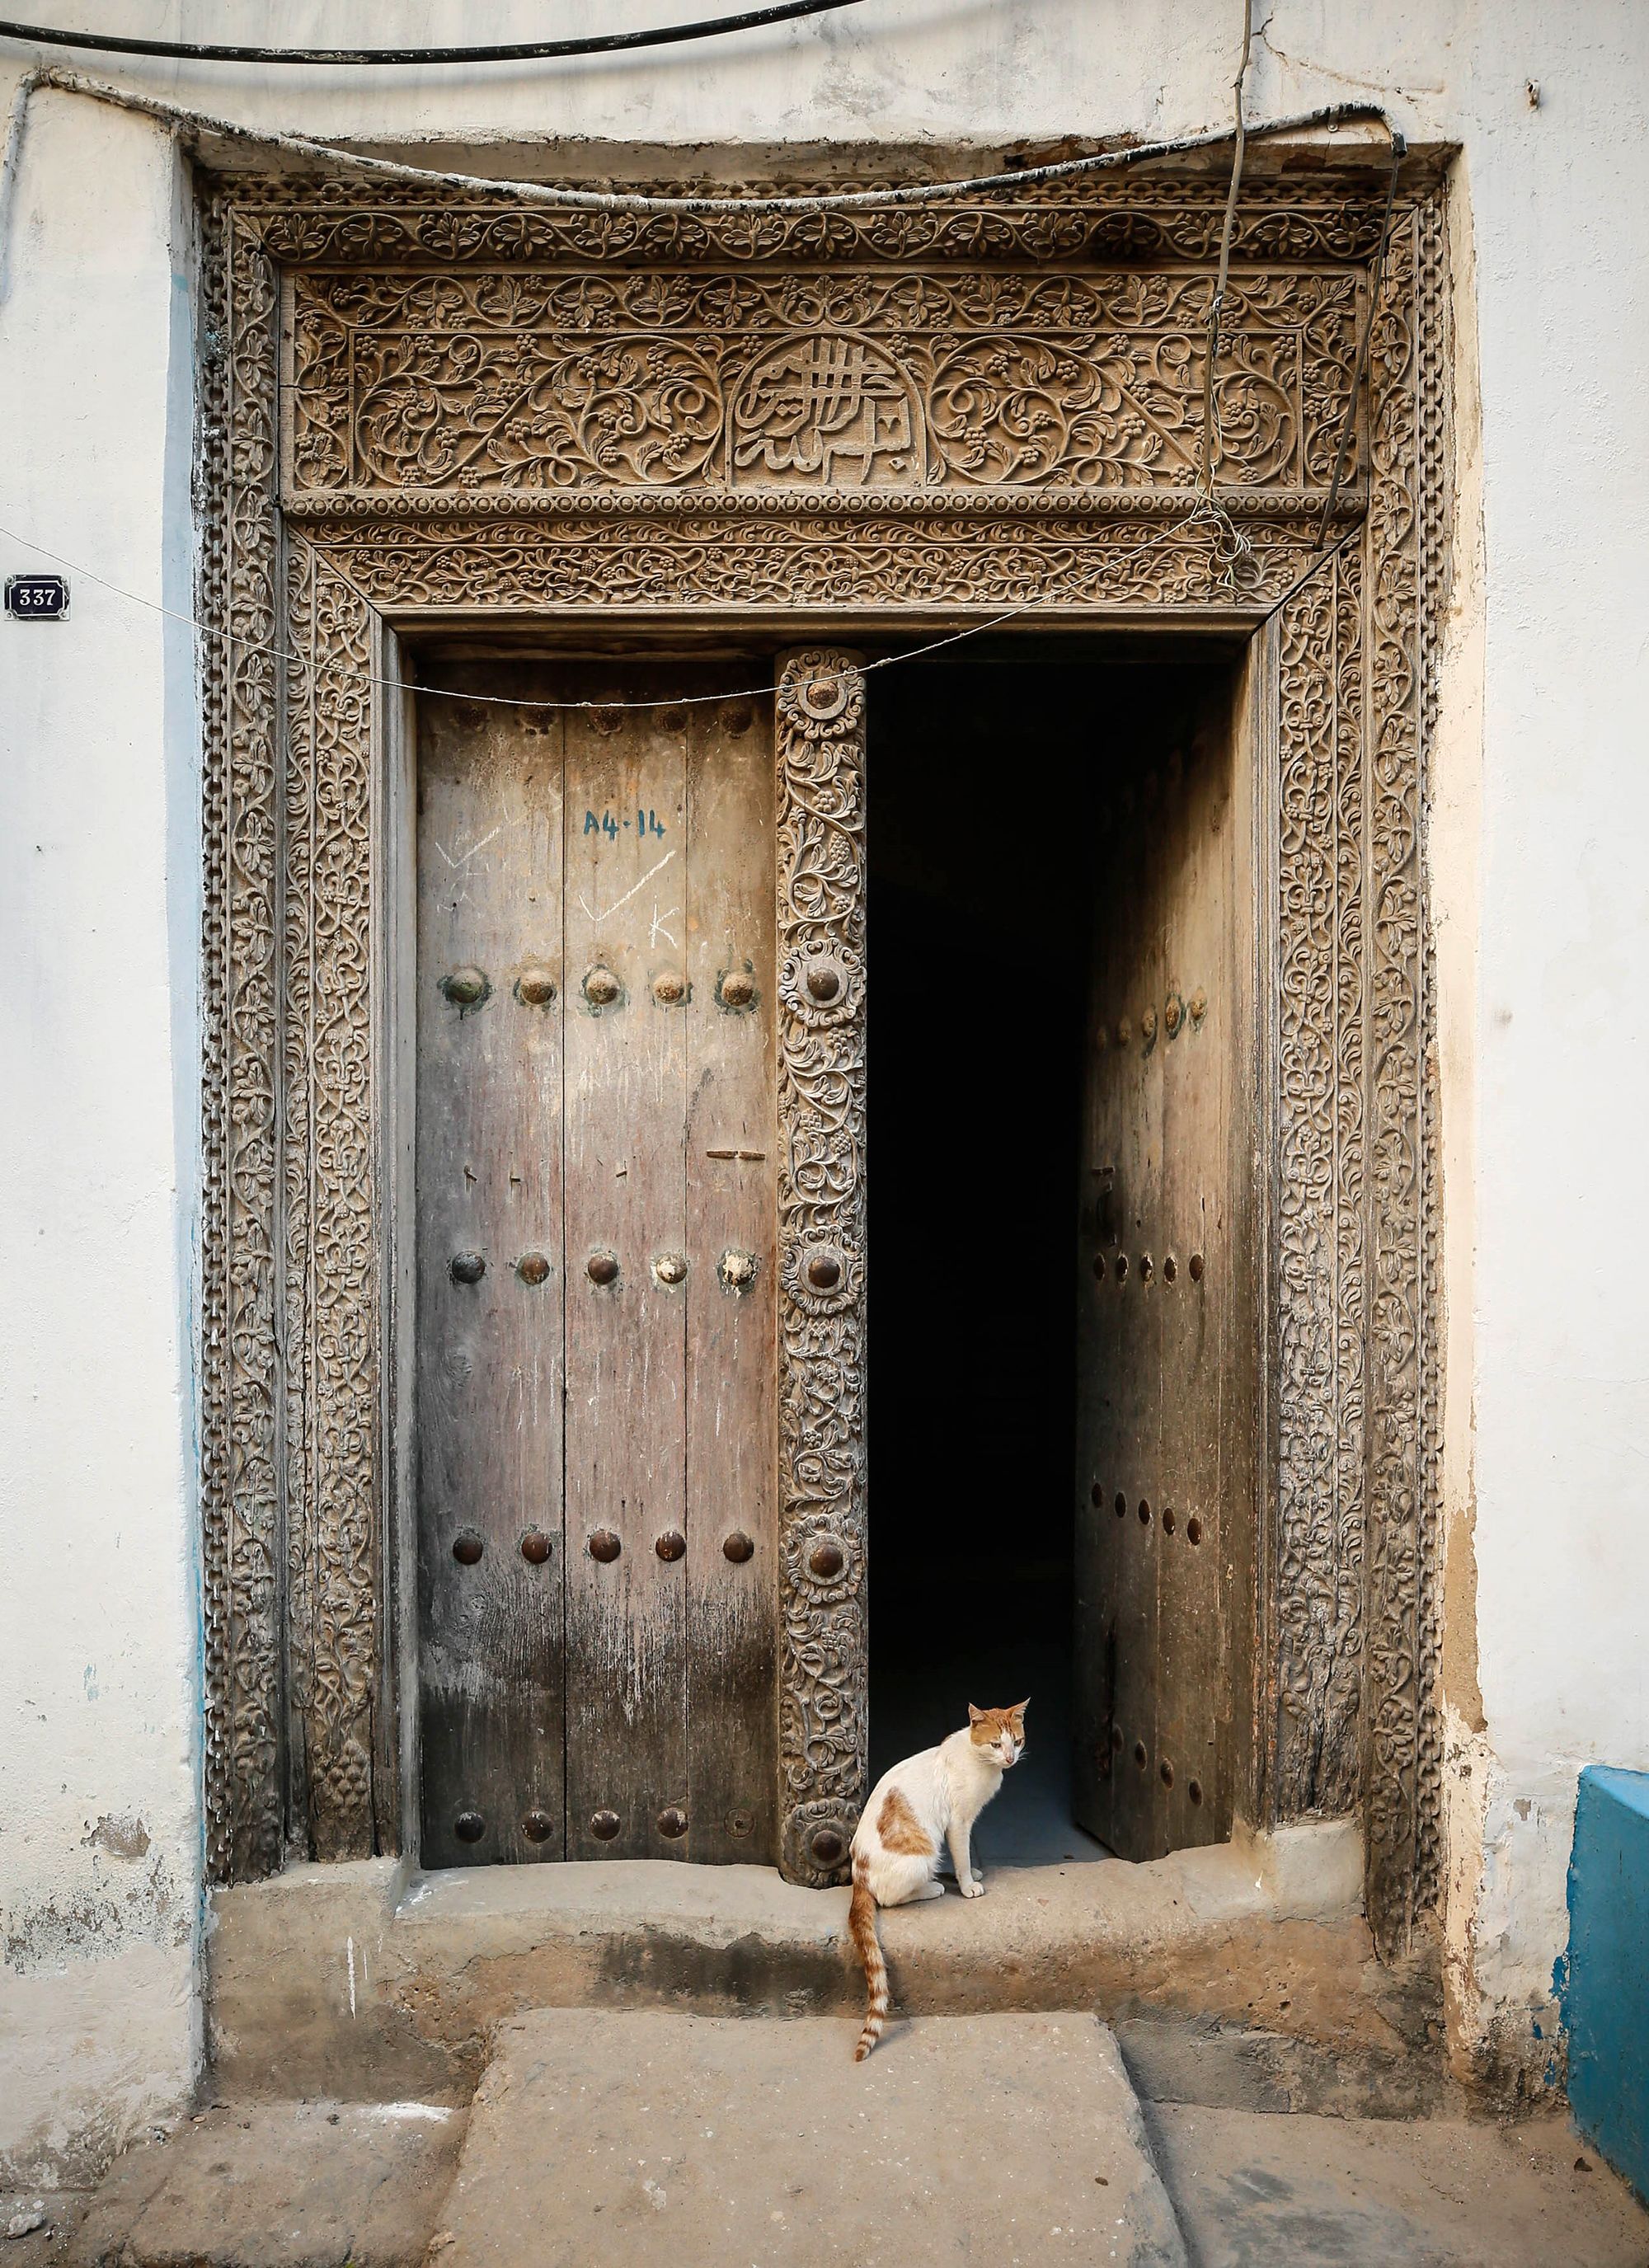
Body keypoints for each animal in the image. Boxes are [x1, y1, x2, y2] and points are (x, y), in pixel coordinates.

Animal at [843, 1705, 1025, 2059]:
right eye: (996, 1744)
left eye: (1017, 1741)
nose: (1010, 1759)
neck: (978, 1760)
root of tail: (859, 1872)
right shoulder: (958, 1823)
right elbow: (963, 1855)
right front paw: (968, 1886)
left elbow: (963, 1858)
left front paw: (970, 1875)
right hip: (923, 1853)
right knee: (890, 1897)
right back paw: (933, 1887)